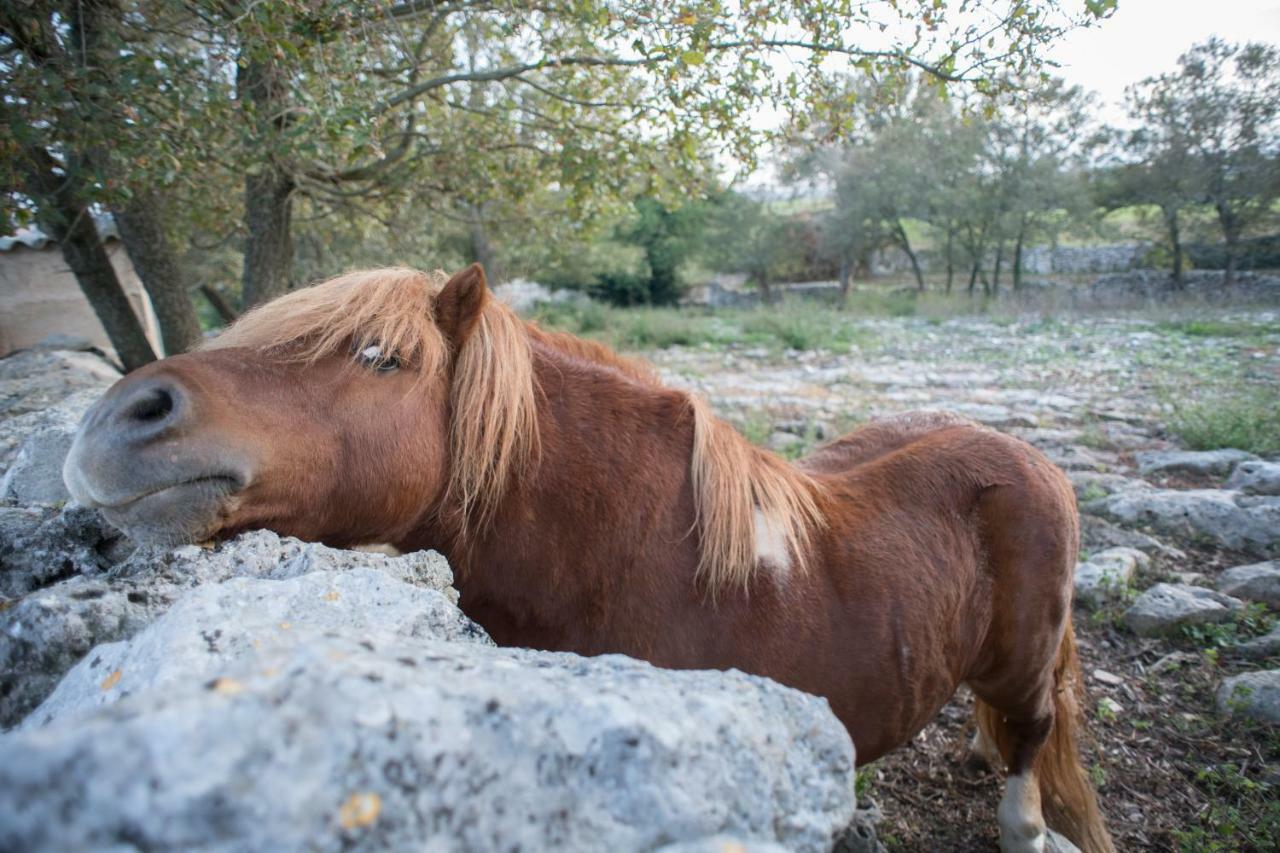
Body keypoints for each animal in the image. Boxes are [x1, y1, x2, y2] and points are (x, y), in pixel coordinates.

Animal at [64, 266, 1116, 850]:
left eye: (381, 356)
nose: (120, 418)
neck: (625, 549)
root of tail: (1025, 455)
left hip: (1025, 662)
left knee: (1032, 737)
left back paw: (1024, 826)